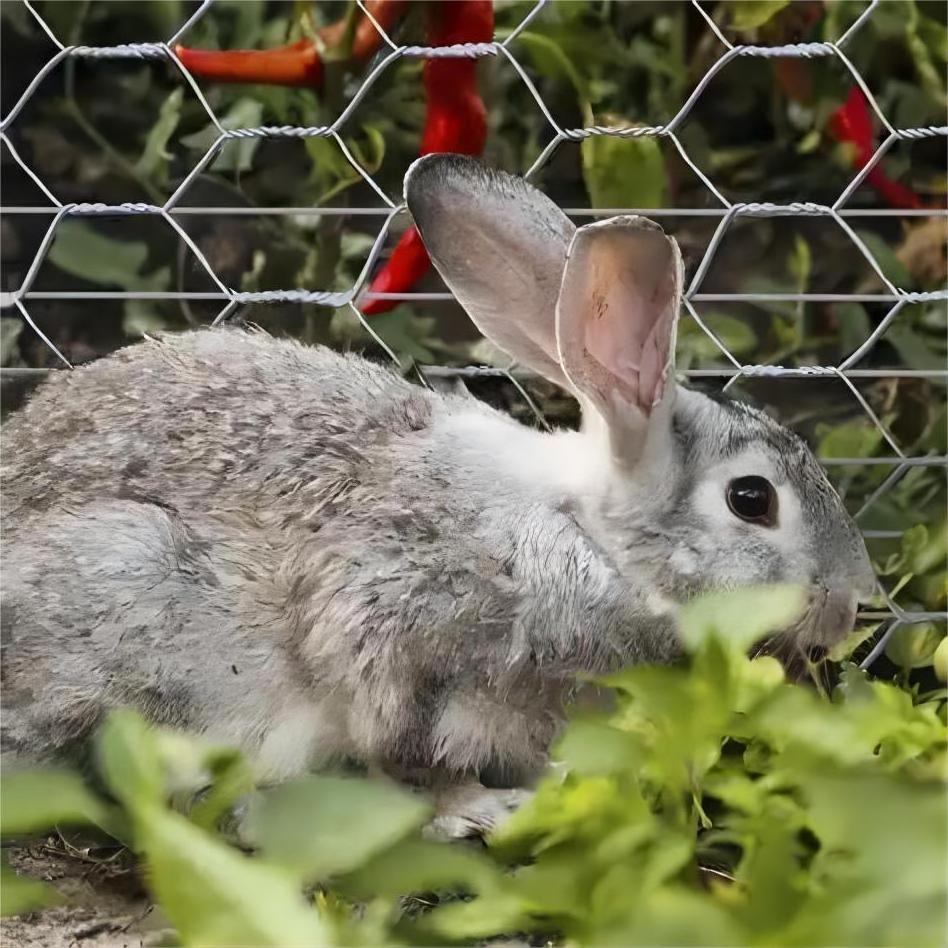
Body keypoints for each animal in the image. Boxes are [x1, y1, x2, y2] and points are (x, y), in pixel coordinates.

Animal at [0, 156, 872, 836]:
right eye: (752, 500)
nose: (852, 603)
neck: (590, 539)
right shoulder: (402, 639)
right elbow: (409, 752)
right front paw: (481, 810)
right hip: (126, 582)